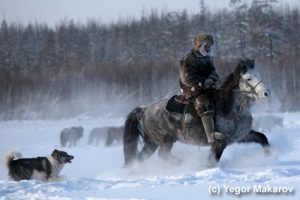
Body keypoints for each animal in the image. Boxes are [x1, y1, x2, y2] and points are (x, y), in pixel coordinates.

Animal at [123, 58, 270, 167]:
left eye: (259, 75)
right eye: (249, 78)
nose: (266, 93)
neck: (229, 108)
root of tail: (144, 109)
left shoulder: (242, 135)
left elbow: (262, 138)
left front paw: (270, 156)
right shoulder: (219, 143)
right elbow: (211, 161)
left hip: (152, 143)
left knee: (139, 158)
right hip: (165, 141)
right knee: (162, 156)